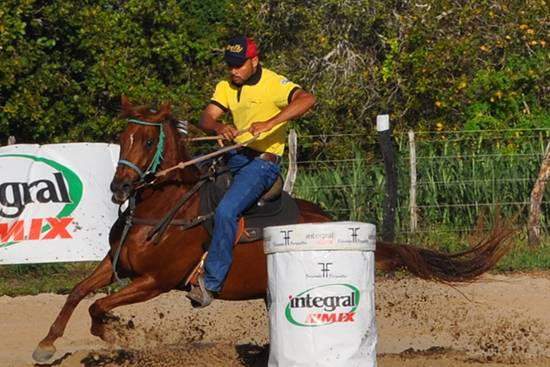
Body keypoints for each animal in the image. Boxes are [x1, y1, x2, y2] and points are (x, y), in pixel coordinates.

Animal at [32, 97, 516, 362]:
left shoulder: (156, 280)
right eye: (123, 137)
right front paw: (47, 344)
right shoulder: (116, 266)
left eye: (149, 140)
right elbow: (77, 293)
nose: (119, 188)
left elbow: (99, 305)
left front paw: (117, 331)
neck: (164, 208)